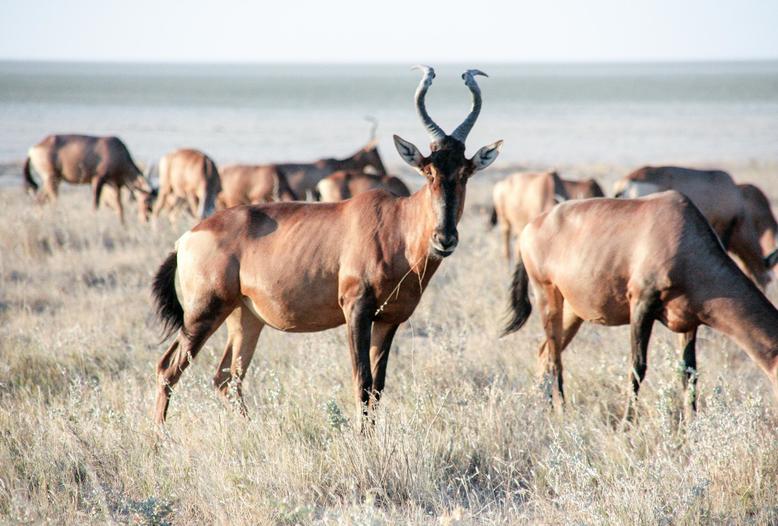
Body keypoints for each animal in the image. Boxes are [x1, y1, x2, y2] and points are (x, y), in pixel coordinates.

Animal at [22, 134, 153, 225]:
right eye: (146, 200)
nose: (145, 220)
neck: (117, 149)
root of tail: (32, 149)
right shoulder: (97, 180)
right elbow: (96, 204)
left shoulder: (114, 184)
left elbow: (120, 207)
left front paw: (123, 226)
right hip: (51, 179)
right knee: (54, 201)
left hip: (53, 180)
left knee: (40, 200)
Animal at [150, 67, 504, 428]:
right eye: (428, 170)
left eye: (465, 172)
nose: (444, 238)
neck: (396, 223)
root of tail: (187, 237)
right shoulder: (356, 310)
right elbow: (362, 382)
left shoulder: (389, 320)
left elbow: (378, 387)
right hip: (203, 312)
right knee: (168, 368)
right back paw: (160, 437)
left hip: (244, 315)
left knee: (227, 378)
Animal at [504, 191, 776, 420]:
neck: (682, 233)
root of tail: (529, 228)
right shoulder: (641, 304)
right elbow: (637, 367)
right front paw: (627, 425)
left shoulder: (689, 322)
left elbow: (689, 373)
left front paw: (692, 427)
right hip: (546, 294)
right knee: (554, 358)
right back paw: (561, 413)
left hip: (573, 310)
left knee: (544, 352)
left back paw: (545, 409)